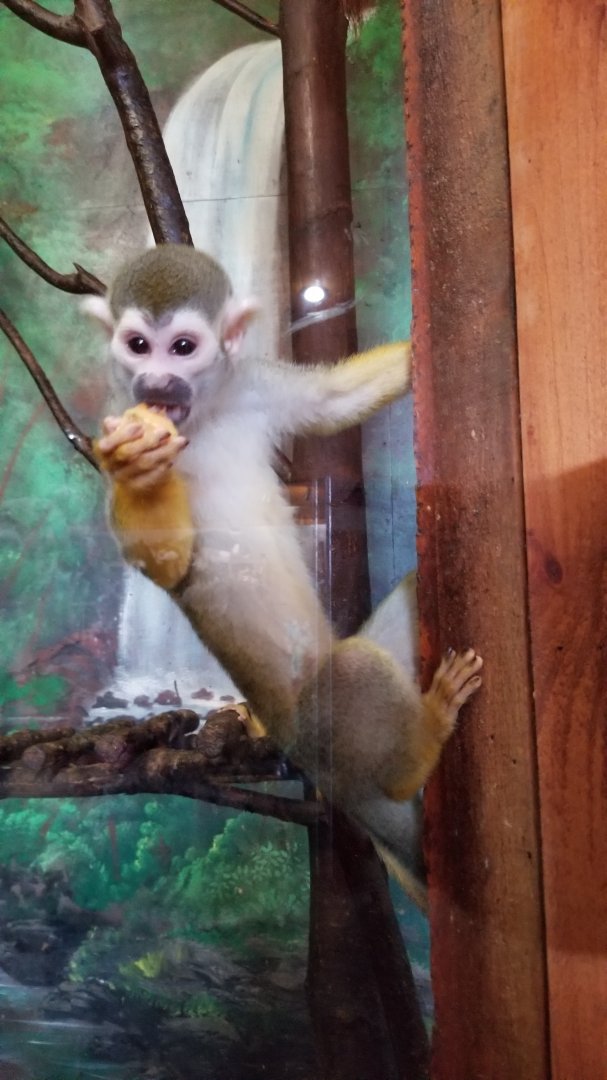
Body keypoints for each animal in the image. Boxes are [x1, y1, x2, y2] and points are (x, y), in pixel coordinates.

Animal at [84, 244, 482, 906]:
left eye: (182, 348)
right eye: (138, 345)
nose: (156, 384)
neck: (208, 412)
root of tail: (336, 784)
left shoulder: (254, 384)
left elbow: (331, 400)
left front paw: (422, 342)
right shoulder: (111, 421)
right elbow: (167, 564)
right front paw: (137, 470)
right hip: (320, 735)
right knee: (351, 676)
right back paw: (421, 743)